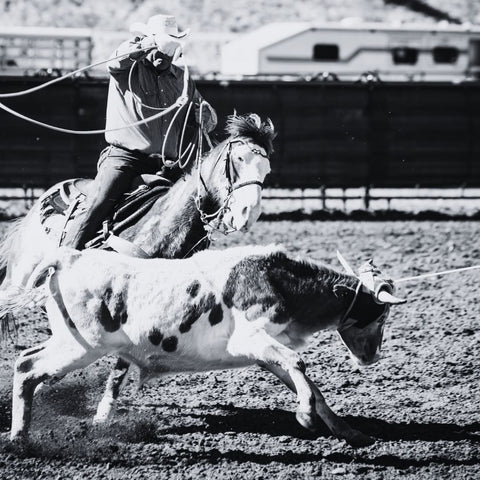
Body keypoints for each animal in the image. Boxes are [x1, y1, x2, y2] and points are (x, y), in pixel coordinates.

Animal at [0, 112, 274, 424]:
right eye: (238, 159)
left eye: (266, 171)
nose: (248, 214)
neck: (163, 229)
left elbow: (121, 362)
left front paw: (103, 412)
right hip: (20, 276)